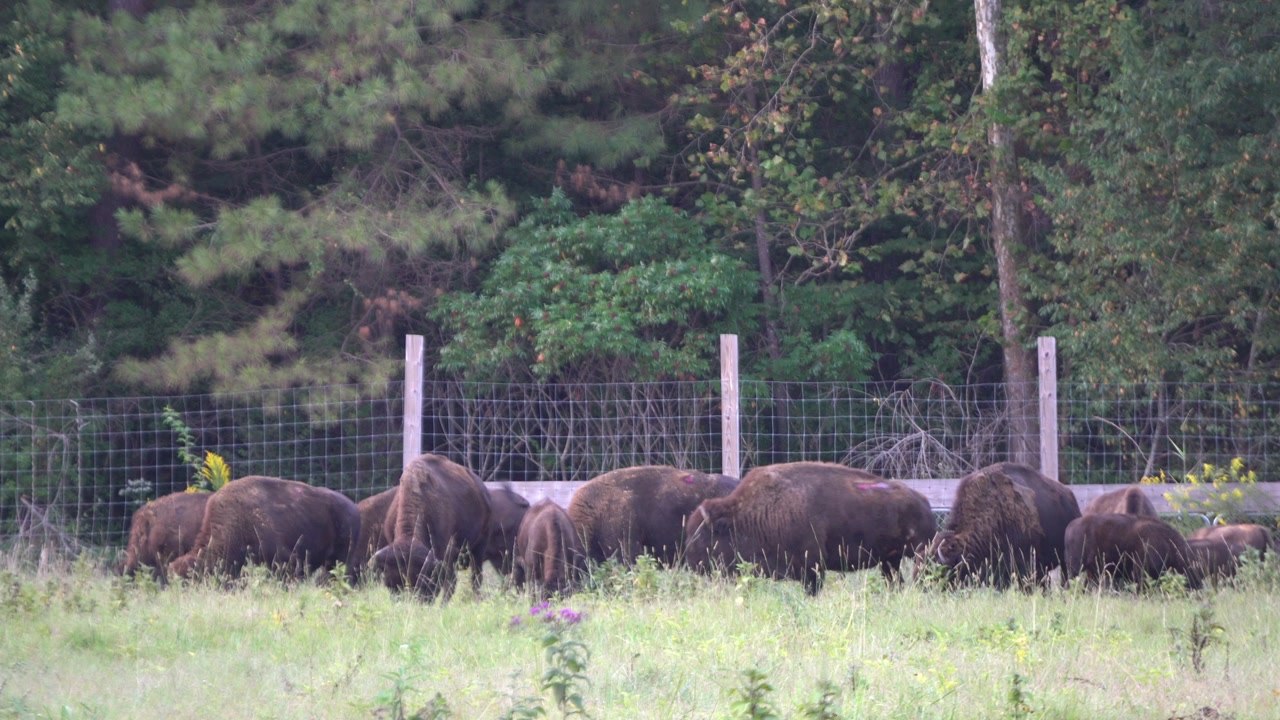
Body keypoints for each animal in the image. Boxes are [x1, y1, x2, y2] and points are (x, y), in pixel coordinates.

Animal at [683, 461, 936, 595]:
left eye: (703, 536)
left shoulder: (812, 568)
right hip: (889, 561)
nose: (692, 564)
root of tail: (923, 501)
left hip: (920, 554)